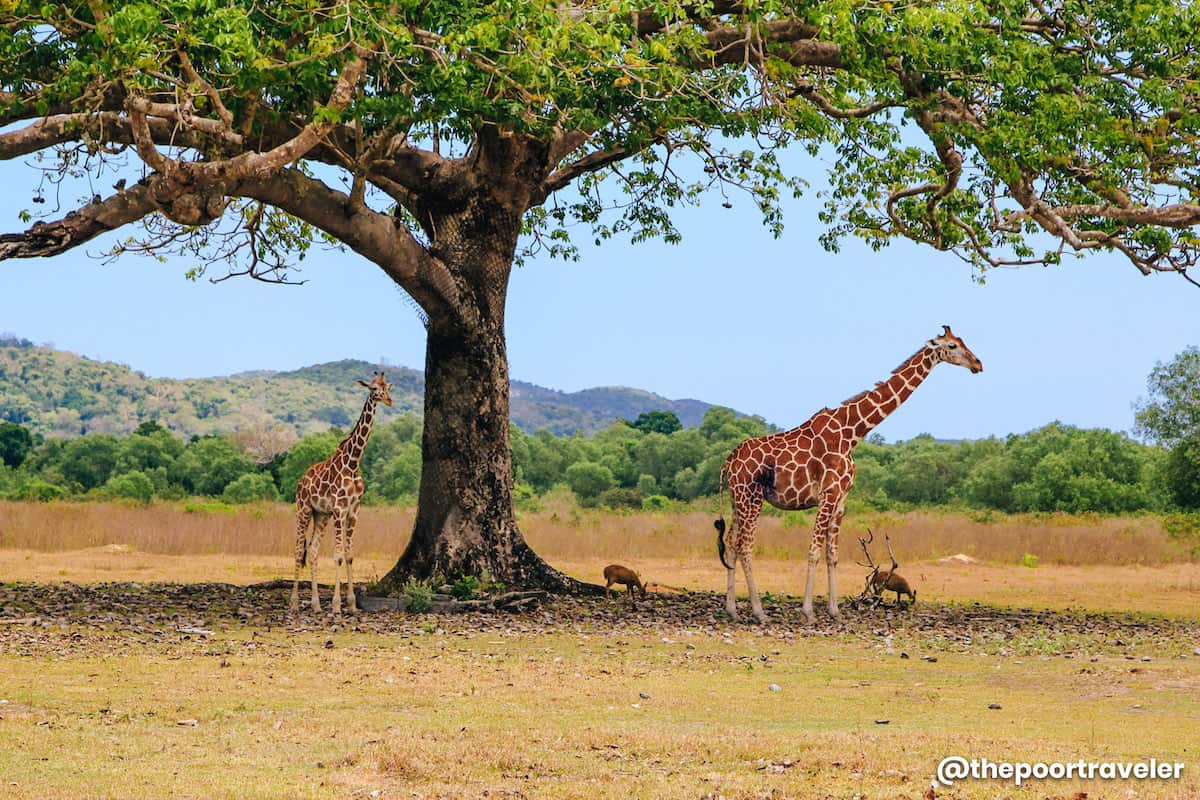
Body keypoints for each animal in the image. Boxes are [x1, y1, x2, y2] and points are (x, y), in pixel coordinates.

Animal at [288, 371, 391, 618]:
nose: (389, 400)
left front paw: (351, 604)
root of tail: (301, 480)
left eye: (387, 388)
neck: (353, 462)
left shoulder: (353, 510)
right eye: (374, 389)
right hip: (303, 509)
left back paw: (315, 604)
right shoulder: (339, 508)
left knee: (313, 550)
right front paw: (336, 606)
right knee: (298, 550)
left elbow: (349, 555)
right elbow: (337, 556)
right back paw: (294, 603)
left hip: (320, 515)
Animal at [710, 326, 984, 623]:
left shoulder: (841, 498)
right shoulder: (828, 494)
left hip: (738, 499)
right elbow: (814, 551)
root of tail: (728, 461)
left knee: (731, 542)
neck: (852, 432)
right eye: (952, 345)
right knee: (745, 545)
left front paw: (835, 610)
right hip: (752, 497)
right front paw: (808, 611)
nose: (978, 364)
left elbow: (833, 554)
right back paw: (759, 612)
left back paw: (732, 610)